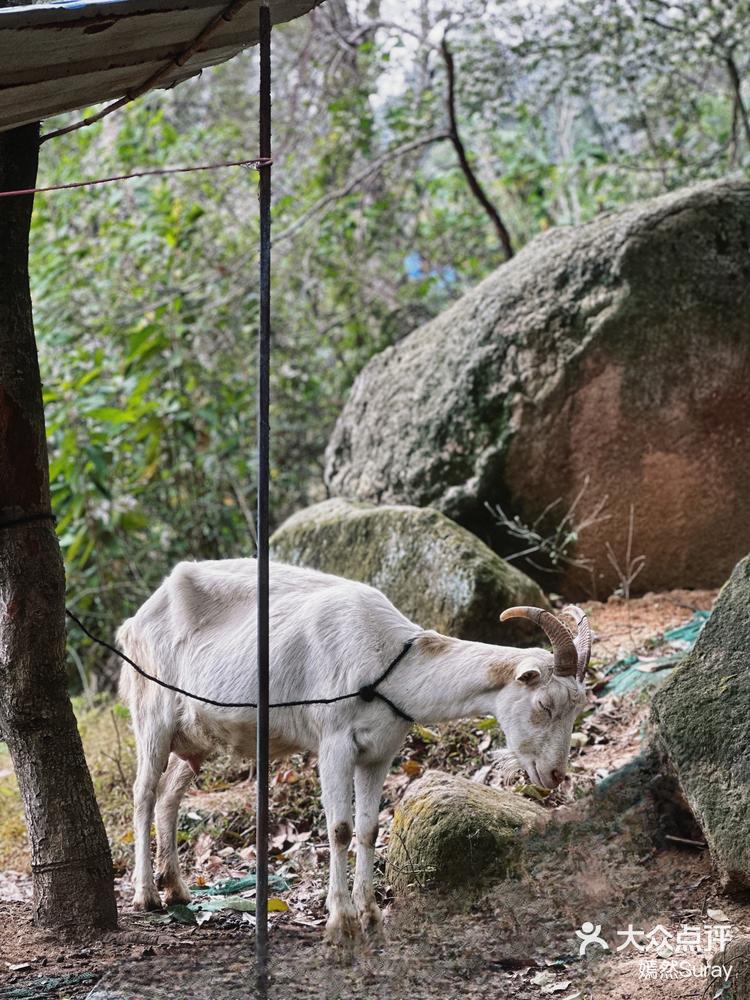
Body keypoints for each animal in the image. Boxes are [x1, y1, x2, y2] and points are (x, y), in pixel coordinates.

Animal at [117, 560, 592, 940]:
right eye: (545, 704)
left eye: (578, 708)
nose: (555, 775)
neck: (388, 661)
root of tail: (134, 621)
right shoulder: (334, 744)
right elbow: (340, 830)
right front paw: (340, 921)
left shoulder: (379, 752)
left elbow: (368, 830)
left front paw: (371, 916)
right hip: (152, 711)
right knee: (143, 794)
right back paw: (146, 895)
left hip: (196, 740)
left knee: (169, 795)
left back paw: (175, 888)